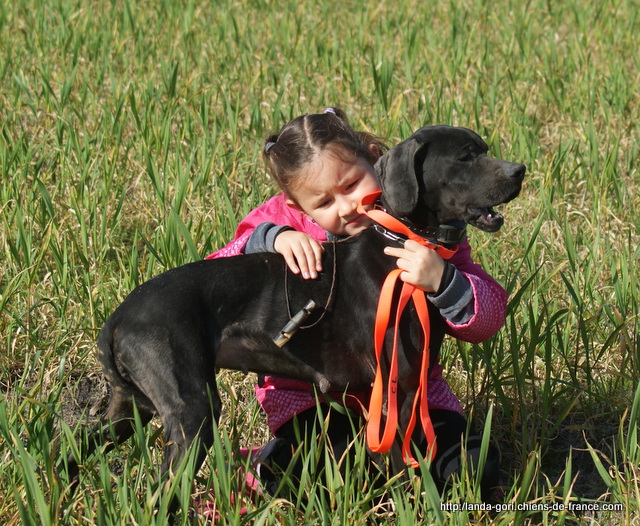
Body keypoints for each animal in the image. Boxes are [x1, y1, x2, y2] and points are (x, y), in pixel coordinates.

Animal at [66, 127, 524, 508]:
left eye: (484, 148)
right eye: (465, 157)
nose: (520, 170)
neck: (399, 243)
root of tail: (118, 317)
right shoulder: (399, 388)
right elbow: (403, 470)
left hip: (132, 406)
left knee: (75, 444)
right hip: (191, 416)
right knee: (162, 494)